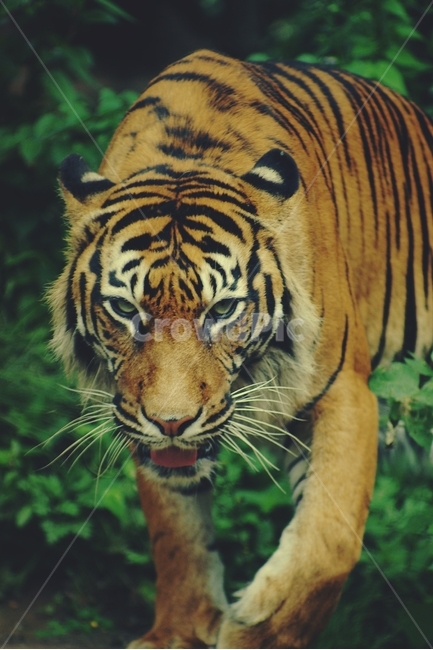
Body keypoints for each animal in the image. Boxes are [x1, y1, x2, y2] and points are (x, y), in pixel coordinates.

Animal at [49, 49, 433, 648]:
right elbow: (177, 536)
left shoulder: (345, 393)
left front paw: (256, 626)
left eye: (223, 310)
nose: (172, 421)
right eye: (125, 309)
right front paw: (178, 632)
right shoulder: (136, 420)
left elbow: (327, 541)